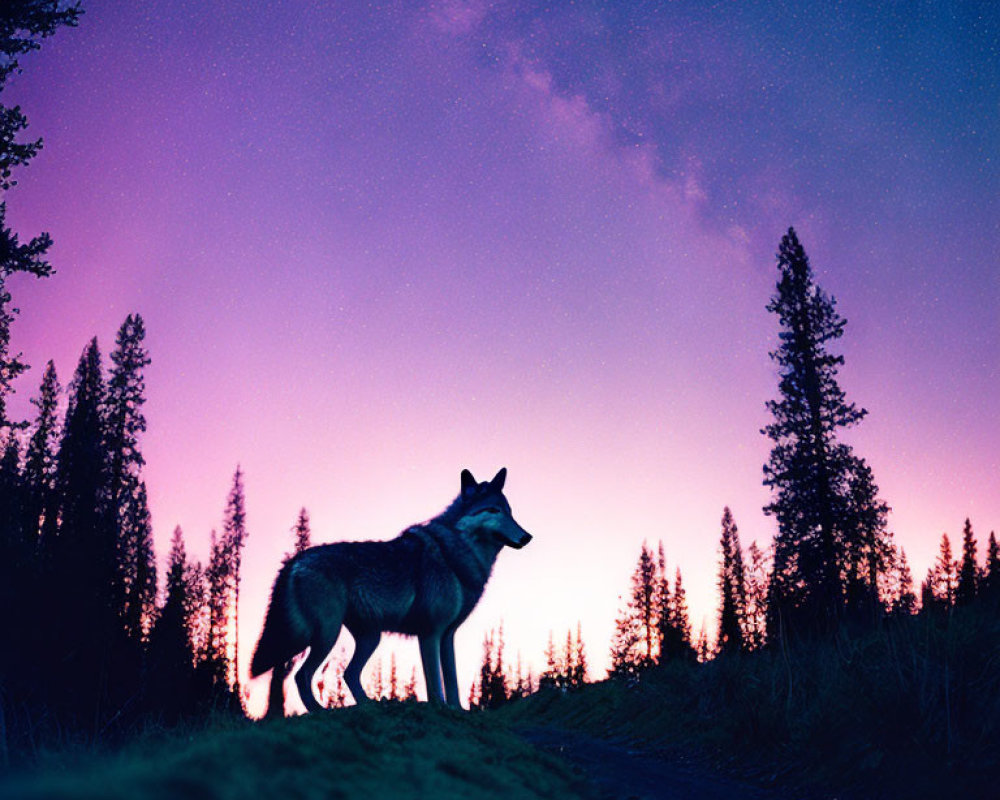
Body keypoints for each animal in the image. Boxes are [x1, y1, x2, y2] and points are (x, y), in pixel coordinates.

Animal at [249, 466, 532, 716]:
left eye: (510, 512)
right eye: (493, 510)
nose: (527, 536)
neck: (457, 554)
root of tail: (295, 560)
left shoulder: (447, 635)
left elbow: (451, 681)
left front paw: (457, 711)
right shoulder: (430, 633)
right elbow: (434, 682)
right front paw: (440, 708)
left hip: (368, 638)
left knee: (348, 674)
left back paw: (369, 706)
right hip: (326, 635)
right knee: (302, 675)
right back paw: (321, 711)